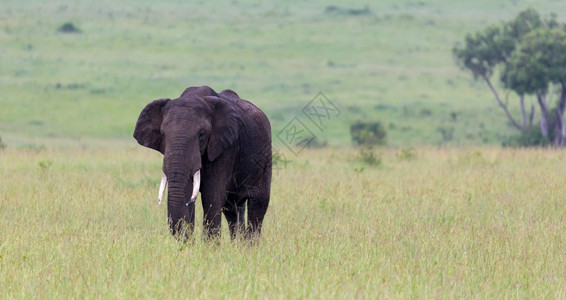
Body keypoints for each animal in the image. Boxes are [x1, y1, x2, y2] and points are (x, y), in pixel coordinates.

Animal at [135, 86, 272, 239]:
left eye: (202, 134)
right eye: (163, 134)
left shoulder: (226, 147)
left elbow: (212, 196)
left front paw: (210, 245)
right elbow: (187, 191)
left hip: (265, 153)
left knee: (258, 203)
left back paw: (249, 244)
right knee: (232, 208)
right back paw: (238, 243)